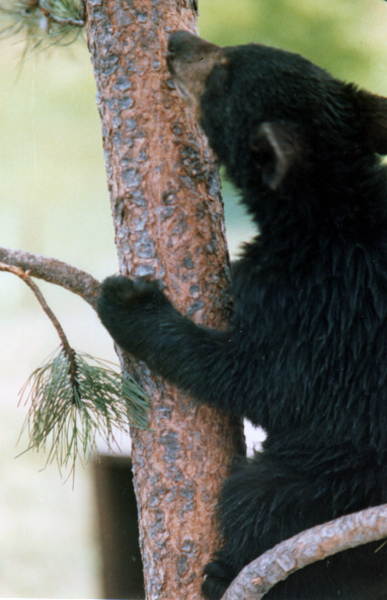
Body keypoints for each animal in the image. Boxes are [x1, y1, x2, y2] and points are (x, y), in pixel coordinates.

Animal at [97, 32, 387, 600]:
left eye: (224, 68)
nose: (177, 39)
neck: (330, 208)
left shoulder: (316, 303)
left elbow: (262, 379)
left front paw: (128, 303)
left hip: (339, 479)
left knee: (259, 495)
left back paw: (225, 573)